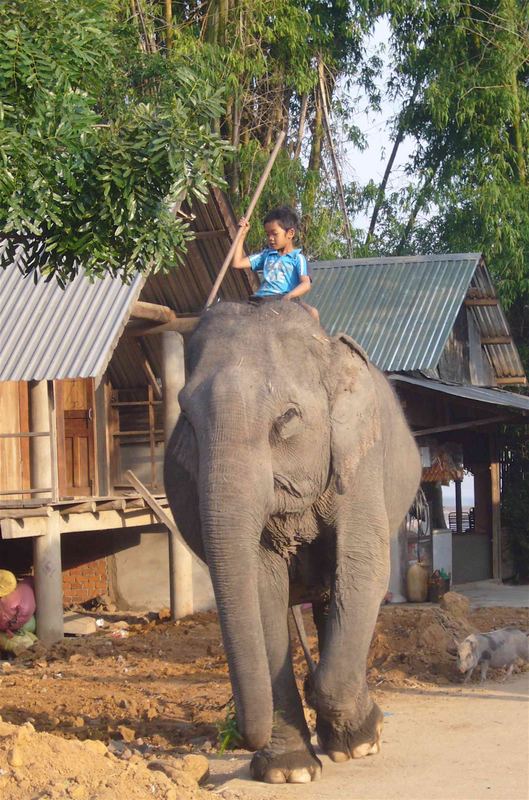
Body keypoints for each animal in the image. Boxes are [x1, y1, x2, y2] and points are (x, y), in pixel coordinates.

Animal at [165, 298, 420, 780]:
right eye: (186, 419)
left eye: (286, 418)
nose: (240, 737)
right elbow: (263, 592)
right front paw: (289, 771)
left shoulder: (359, 463)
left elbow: (363, 569)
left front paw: (363, 736)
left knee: (334, 598)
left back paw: (351, 736)